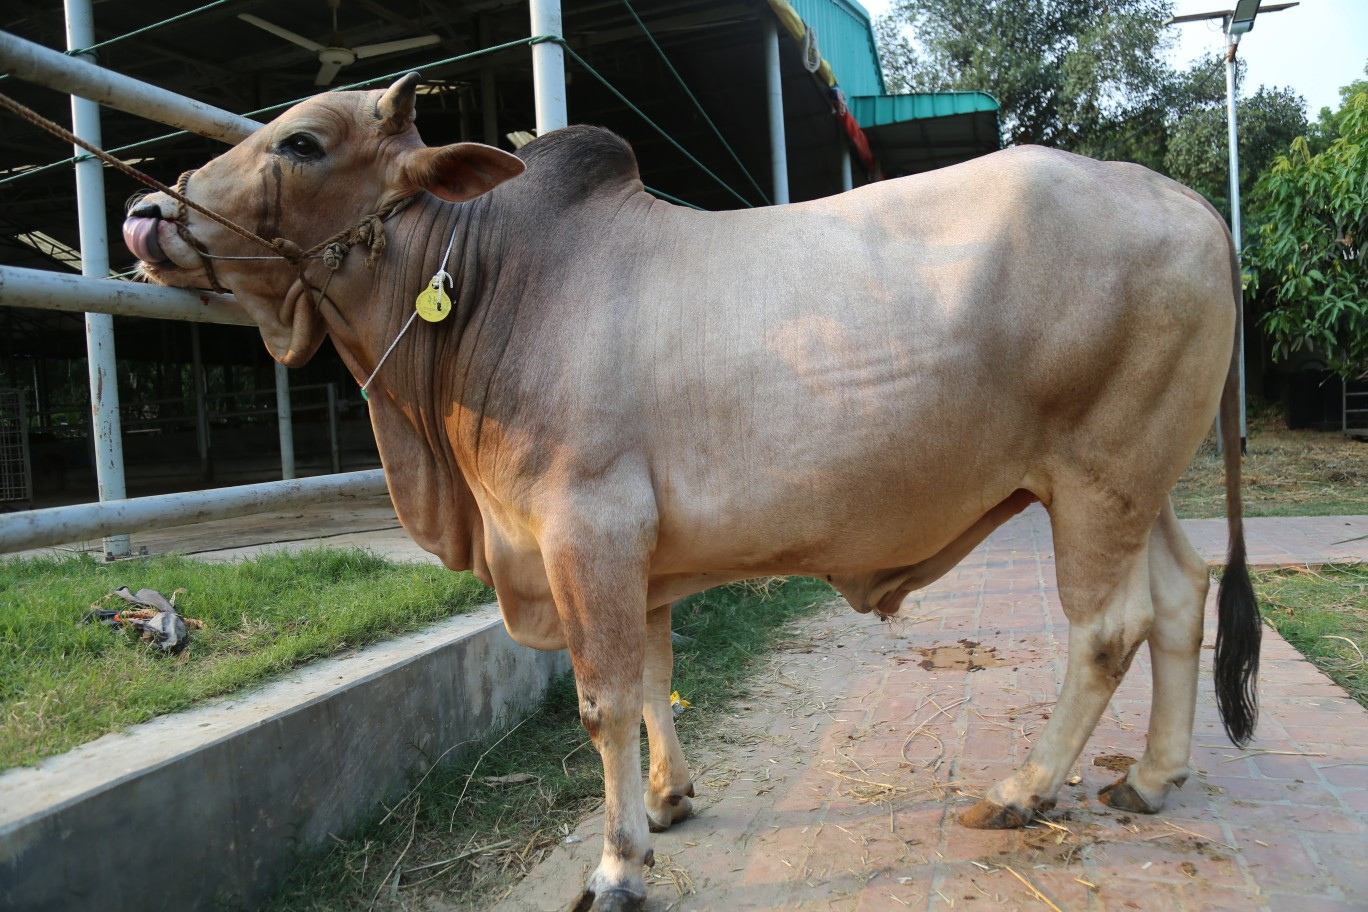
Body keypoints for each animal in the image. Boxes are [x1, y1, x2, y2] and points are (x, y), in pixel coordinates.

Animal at [123, 74, 1261, 911]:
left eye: (302, 143)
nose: (142, 212)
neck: (490, 286)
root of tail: (1188, 202)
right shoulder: (637, 554)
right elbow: (656, 676)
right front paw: (670, 800)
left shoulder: (586, 529)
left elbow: (603, 700)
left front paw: (618, 864)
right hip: (1139, 483)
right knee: (1180, 596)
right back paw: (1150, 777)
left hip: (1095, 479)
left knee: (1106, 629)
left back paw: (1022, 792)